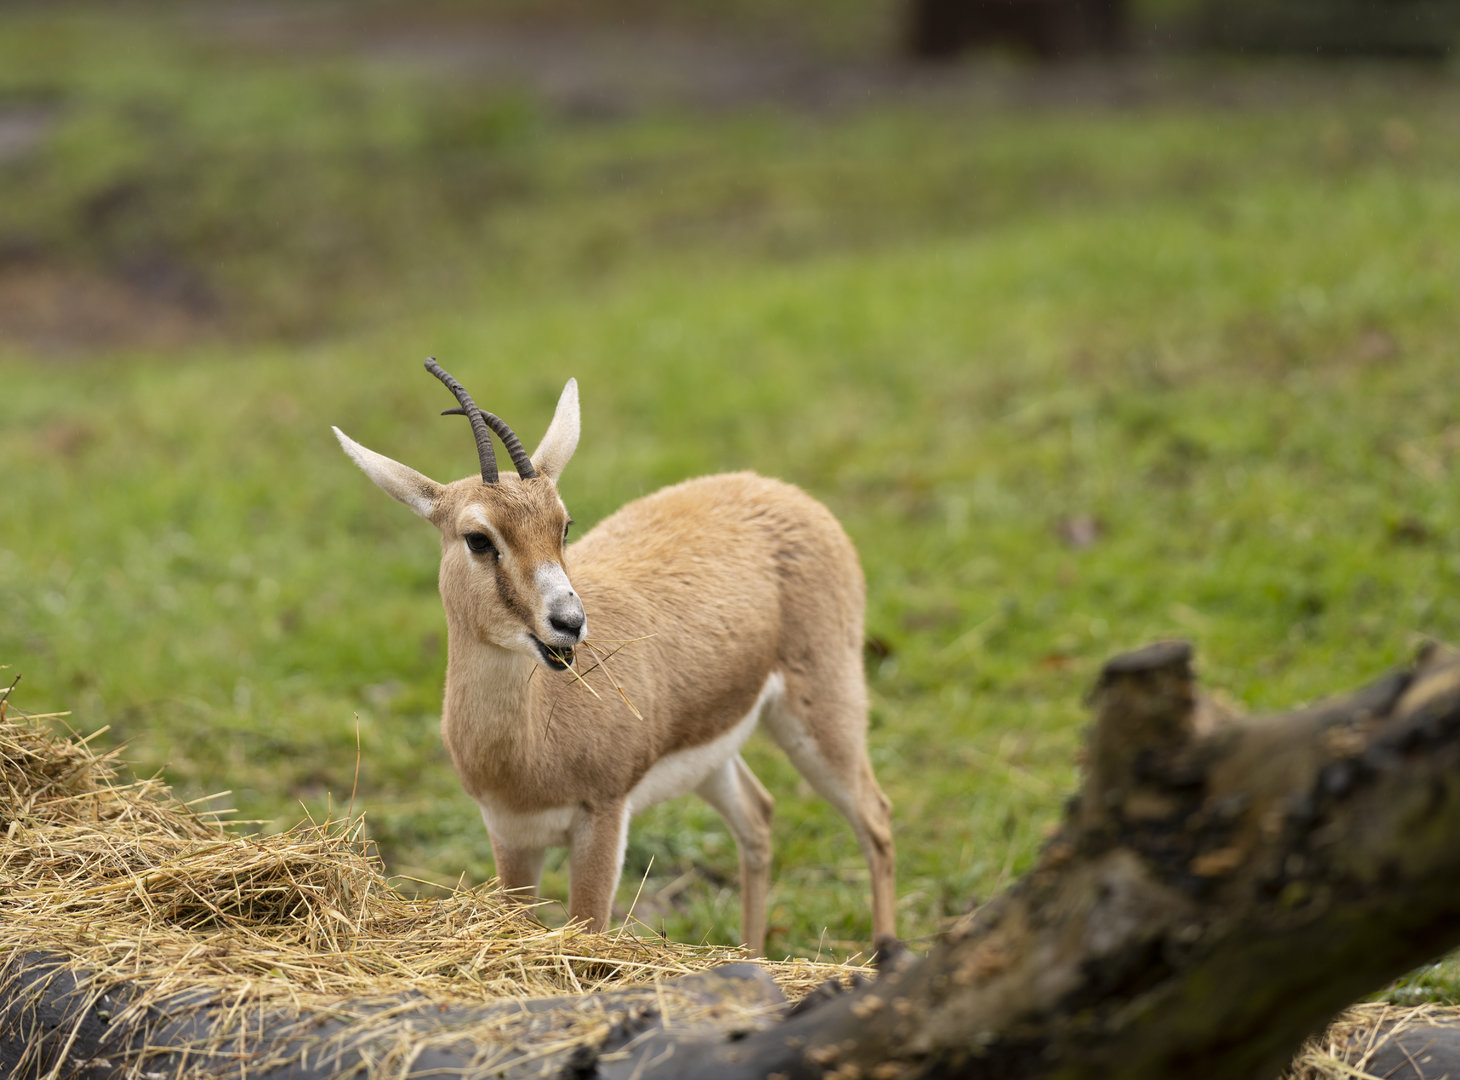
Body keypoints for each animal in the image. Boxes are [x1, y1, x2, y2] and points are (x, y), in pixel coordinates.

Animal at [333, 360, 896, 954]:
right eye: (478, 538)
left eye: (563, 524)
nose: (568, 622)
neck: (526, 750)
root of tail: (780, 491)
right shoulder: (511, 836)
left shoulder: (601, 819)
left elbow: (591, 928)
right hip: (715, 754)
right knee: (759, 815)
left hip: (824, 715)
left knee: (876, 818)